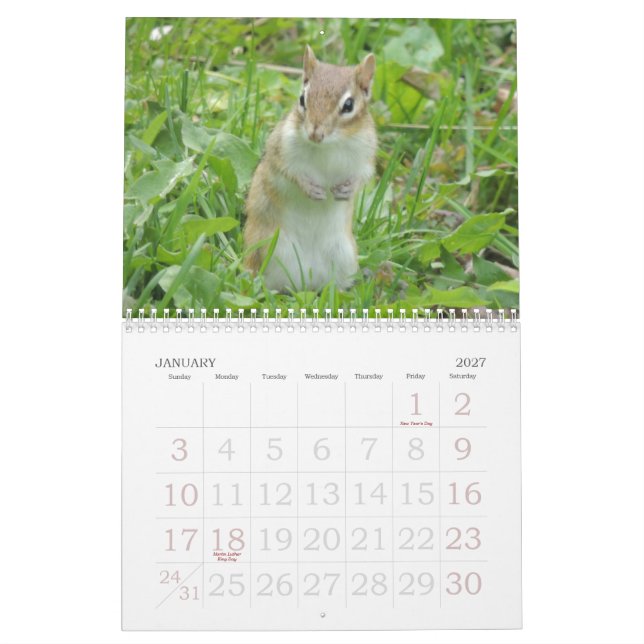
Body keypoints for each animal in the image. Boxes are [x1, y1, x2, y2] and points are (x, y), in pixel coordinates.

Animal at [243, 45, 377, 292]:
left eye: (349, 105)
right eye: (302, 98)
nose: (316, 133)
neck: (329, 146)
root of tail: (306, 283)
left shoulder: (366, 156)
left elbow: (363, 177)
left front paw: (348, 190)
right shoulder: (280, 150)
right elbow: (287, 173)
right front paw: (310, 189)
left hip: (344, 257)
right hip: (266, 250)